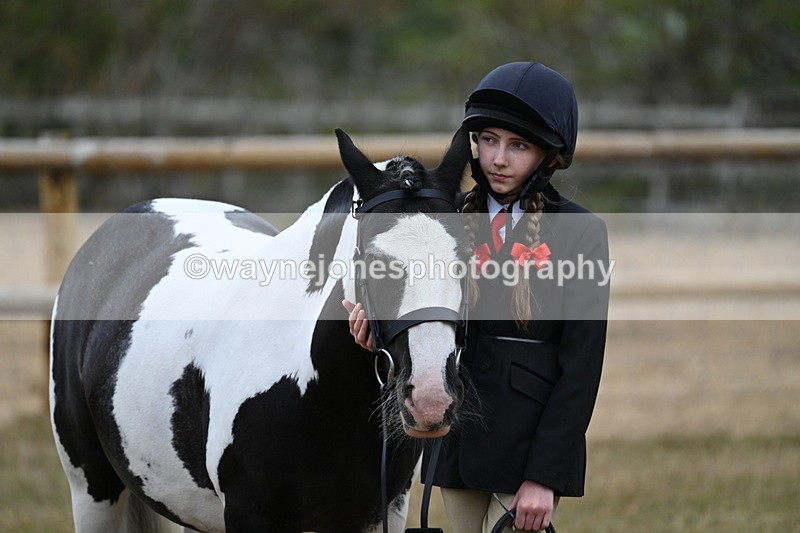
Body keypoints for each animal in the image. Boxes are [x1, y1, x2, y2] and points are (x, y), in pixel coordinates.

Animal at [49, 127, 472, 533]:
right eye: (371, 259)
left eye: (466, 256)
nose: (431, 399)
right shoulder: (248, 514)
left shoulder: (380, 513)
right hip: (92, 489)